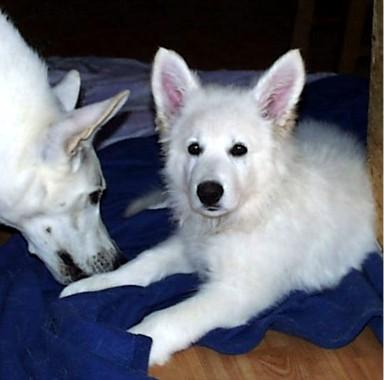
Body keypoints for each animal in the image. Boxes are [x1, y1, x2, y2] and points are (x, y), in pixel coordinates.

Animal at [61, 47, 376, 366]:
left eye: (239, 150)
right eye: (194, 148)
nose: (208, 193)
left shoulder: (236, 291)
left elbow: (168, 318)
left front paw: (132, 344)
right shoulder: (189, 245)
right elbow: (142, 264)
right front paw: (88, 287)